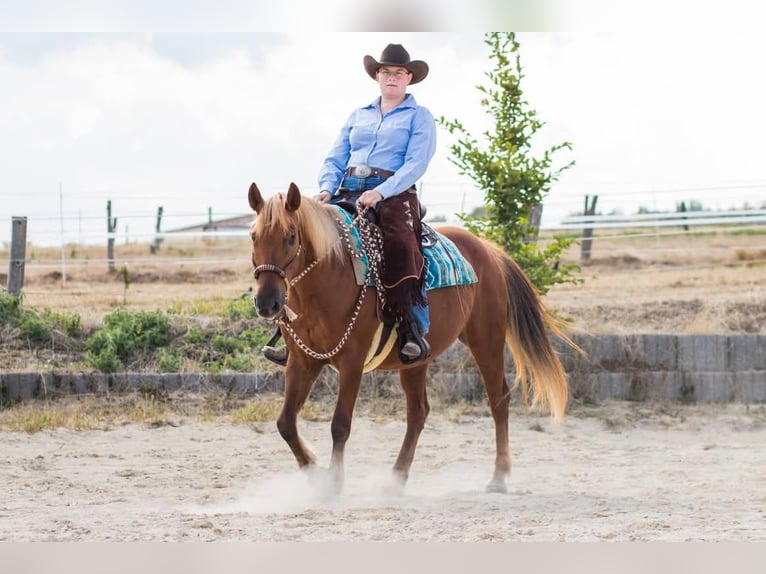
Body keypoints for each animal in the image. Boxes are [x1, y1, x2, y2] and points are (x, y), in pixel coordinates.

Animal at [247, 182, 571, 494]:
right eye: (253, 236)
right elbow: (285, 422)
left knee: (498, 400)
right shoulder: (302, 361)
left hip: (486, 340)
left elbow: (340, 424)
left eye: (291, 237)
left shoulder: (352, 362)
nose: (267, 302)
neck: (331, 276)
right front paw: (315, 471)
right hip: (416, 360)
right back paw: (397, 477)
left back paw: (498, 477)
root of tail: (490, 250)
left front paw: (335, 482)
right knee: (418, 411)